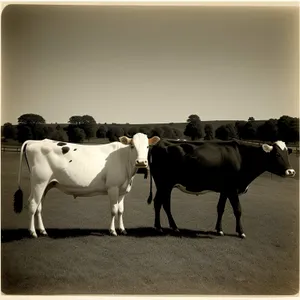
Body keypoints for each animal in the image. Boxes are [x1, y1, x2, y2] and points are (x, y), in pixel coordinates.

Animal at [14, 133, 161, 237]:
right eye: (132, 146)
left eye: (147, 147)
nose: (141, 162)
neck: (124, 159)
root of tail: (35, 141)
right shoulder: (112, 187)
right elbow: (114, 210)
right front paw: (112, 231)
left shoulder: (122, 190)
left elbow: (120, 210)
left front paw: (122, 229)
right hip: (39, 182)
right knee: (32, 204)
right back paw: (32, 232)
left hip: (46, 185)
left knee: (39, 207)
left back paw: (42, 231)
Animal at [146, 139, 296, 239]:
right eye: (277, 155)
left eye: (286, 155)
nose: (291, 171)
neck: (242, 158)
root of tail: (159, 143)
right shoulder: (232, 189)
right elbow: (238, 210)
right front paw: (241, 232)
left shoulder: (225, 190)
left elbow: (220, 208)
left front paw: (219, 230)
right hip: (164, 183)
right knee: (158, 202)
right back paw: (159, 227)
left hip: (166, 185)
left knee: (165, 204)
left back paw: (174, 227)